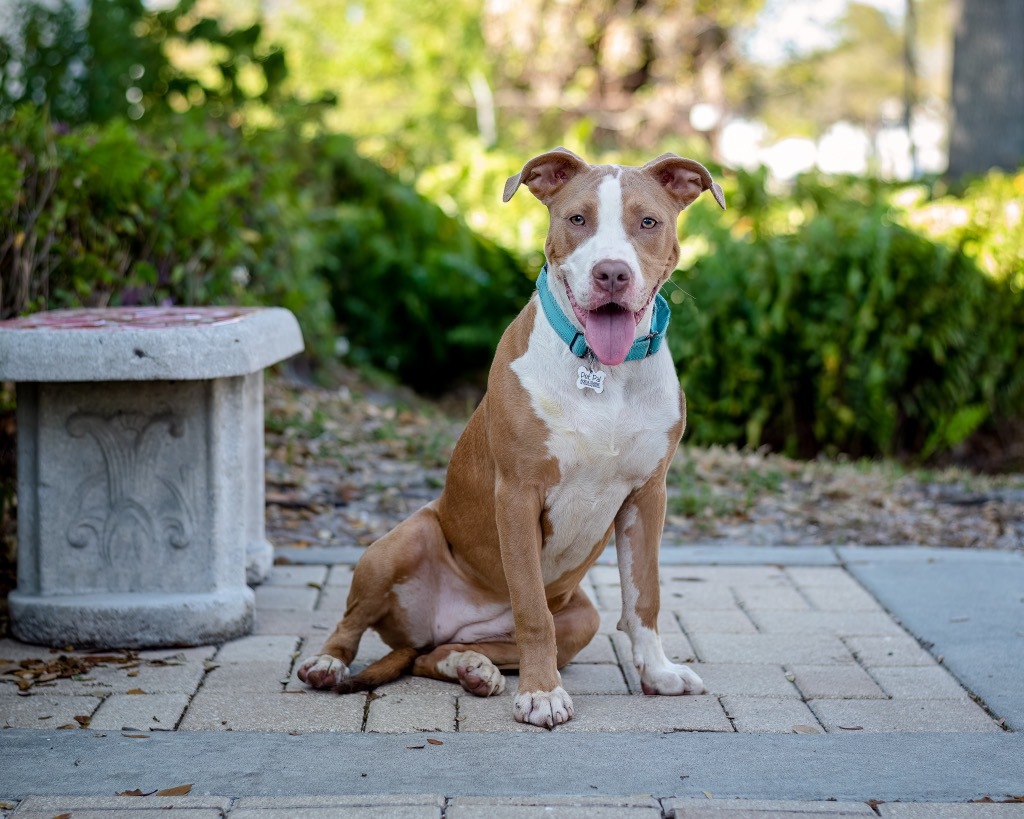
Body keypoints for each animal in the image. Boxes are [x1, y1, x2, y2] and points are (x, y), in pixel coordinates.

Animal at [299, 148, 729, 728]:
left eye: (648, 222)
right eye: (577, 219)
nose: (612, 272)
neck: (603, 372)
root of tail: (439, 626)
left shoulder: (647, 496)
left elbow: (645, 597)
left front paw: (658, 674)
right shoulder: (518, 494)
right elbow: (531, 610)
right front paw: (543, 693)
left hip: (581, 617)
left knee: (439, 656)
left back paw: (472, 666)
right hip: (399, 543)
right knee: (352, 622)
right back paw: (328, 663)